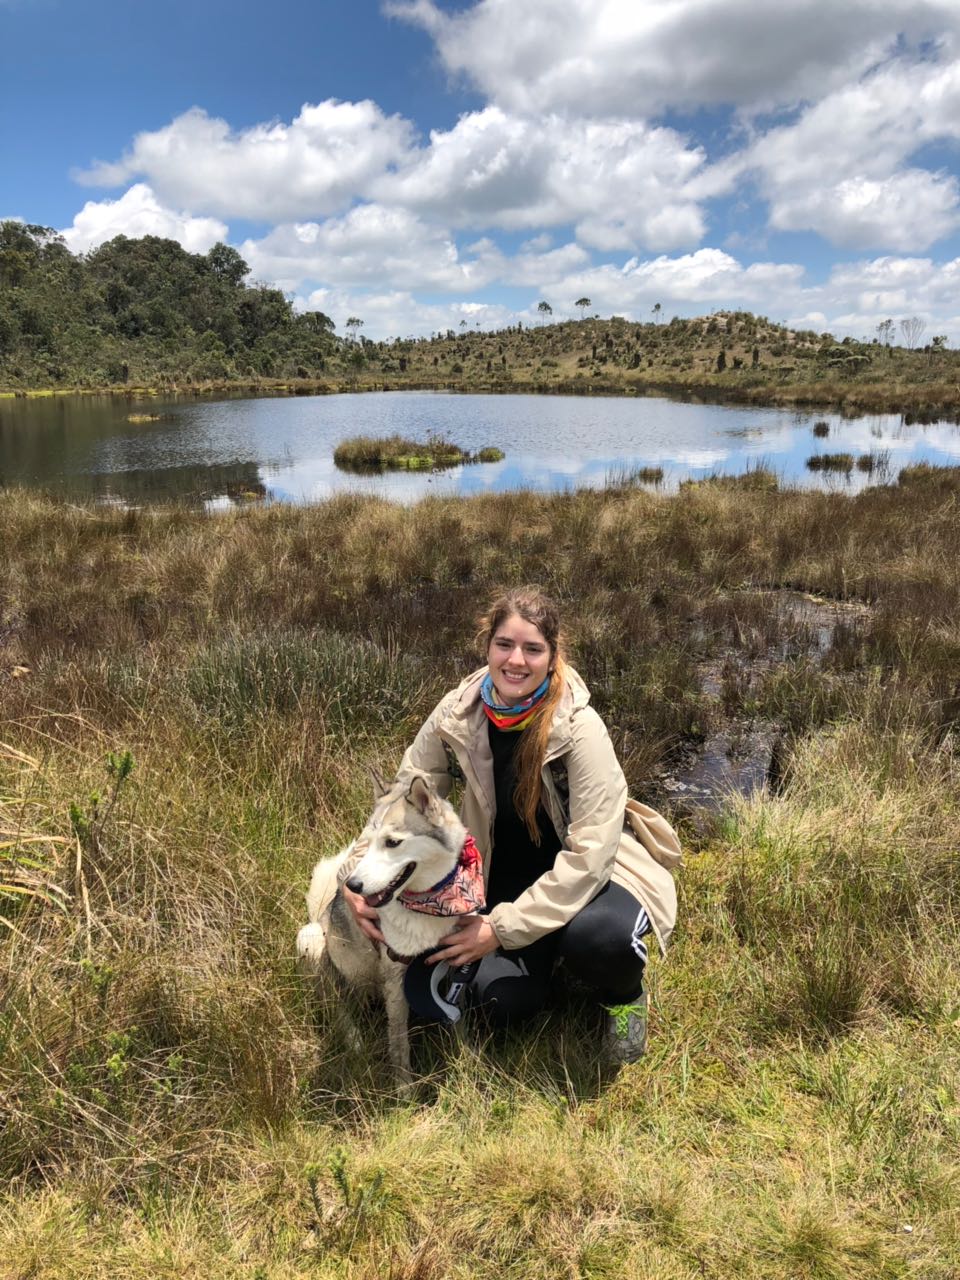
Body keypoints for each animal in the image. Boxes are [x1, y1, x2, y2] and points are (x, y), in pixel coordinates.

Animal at [295, 773, 488, 1085]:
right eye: (368, 839)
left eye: (392, 842)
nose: (352, 885)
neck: (432, 901)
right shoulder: (397, 979)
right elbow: (399, 1044)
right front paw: (405, 1090)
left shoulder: (456, 960)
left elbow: (459, 1021)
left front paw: (469, 1063)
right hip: (311, 941)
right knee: (337, 1008)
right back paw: (355, 1042)